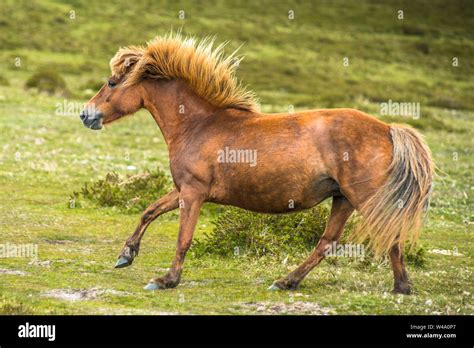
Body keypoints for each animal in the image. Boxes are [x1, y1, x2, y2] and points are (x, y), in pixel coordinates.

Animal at [81, 33, 434, 294]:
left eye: (111, 82)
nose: (86, 114)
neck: (199, 124)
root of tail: (388, 129)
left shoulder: (193, 193)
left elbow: (183, 238)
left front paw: (166, 280)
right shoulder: (184, 189)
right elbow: (149, 210)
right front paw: (126, 255)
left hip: (364, 199)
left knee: (389, 238)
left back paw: (400, 287)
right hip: (343, 198)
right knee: (328, 243)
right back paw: (287, 282)